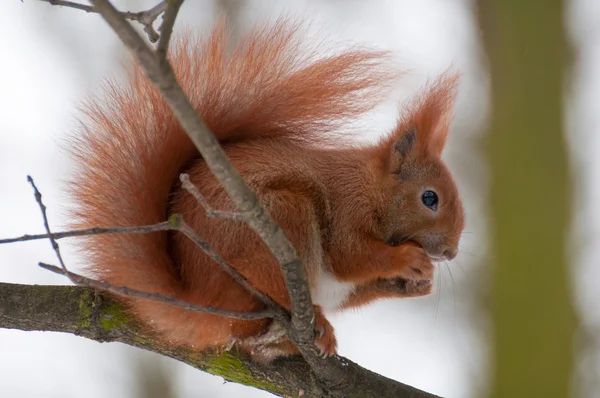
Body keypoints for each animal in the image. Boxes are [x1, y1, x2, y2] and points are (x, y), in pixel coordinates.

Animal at [68, 17, 466, 360]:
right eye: (430, 198)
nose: (450, 253)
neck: (373, 187)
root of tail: (199, 296)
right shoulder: (347, 204)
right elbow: (351, 255)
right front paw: (407, 260)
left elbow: (357, 285)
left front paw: (419, 283)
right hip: (279, 222)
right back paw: (315, 321)